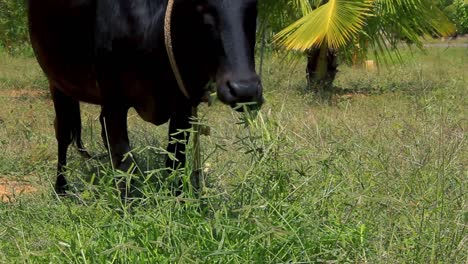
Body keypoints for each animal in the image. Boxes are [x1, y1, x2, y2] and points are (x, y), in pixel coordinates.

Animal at [28, 0, 264, 194]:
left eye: (254, 5)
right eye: (200, 4)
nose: (244, 89)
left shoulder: (183, 105)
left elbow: (175, 159)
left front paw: (177, 200)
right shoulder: (114, 101)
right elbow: (123, 158)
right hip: (57, 83)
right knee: (64, 133)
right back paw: (61, 188)